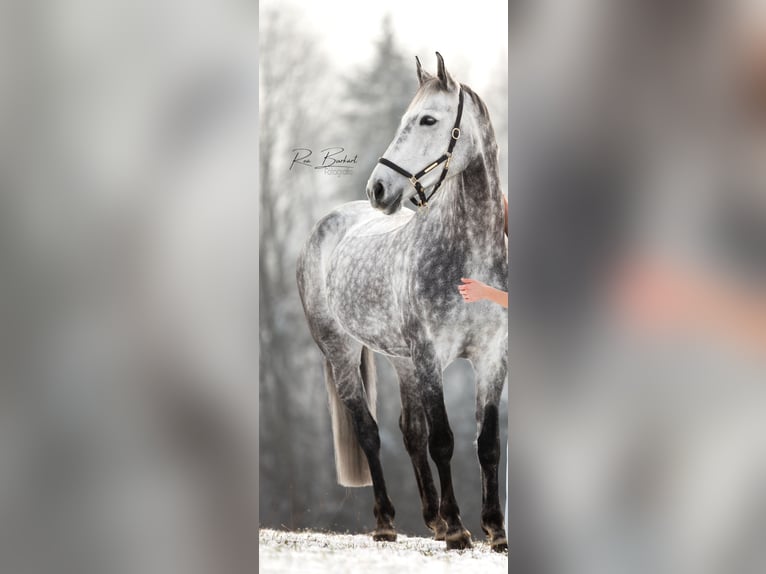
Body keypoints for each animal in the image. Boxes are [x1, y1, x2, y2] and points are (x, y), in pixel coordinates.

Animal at [296, 53, 507, 552]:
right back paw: (388, 521)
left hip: (402, 361)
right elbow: (444, 440)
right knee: (370, 433)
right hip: (342, 353)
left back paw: (431, 518)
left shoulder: (491, 357)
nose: (379, 189)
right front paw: (459, 529)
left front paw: (495, 530)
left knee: (409, 431)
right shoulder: (430, 357)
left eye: (428, 119)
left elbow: (486, 442)